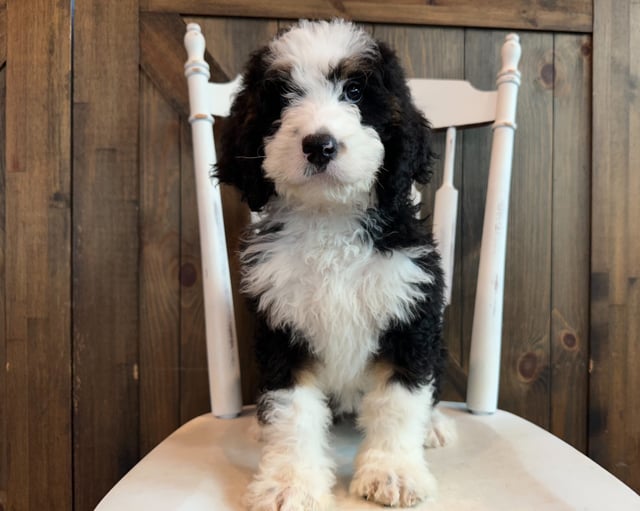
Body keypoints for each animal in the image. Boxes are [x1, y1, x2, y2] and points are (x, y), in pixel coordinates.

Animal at [218, 18, 452, 510]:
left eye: (356, 92)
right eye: (283, 96)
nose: (319, 145)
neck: (330, 218)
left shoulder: (409, 315)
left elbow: (399, 401)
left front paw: (393, 473)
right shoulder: (281, 328)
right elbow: (290, 411)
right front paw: (289, 482)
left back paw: (435, 427)